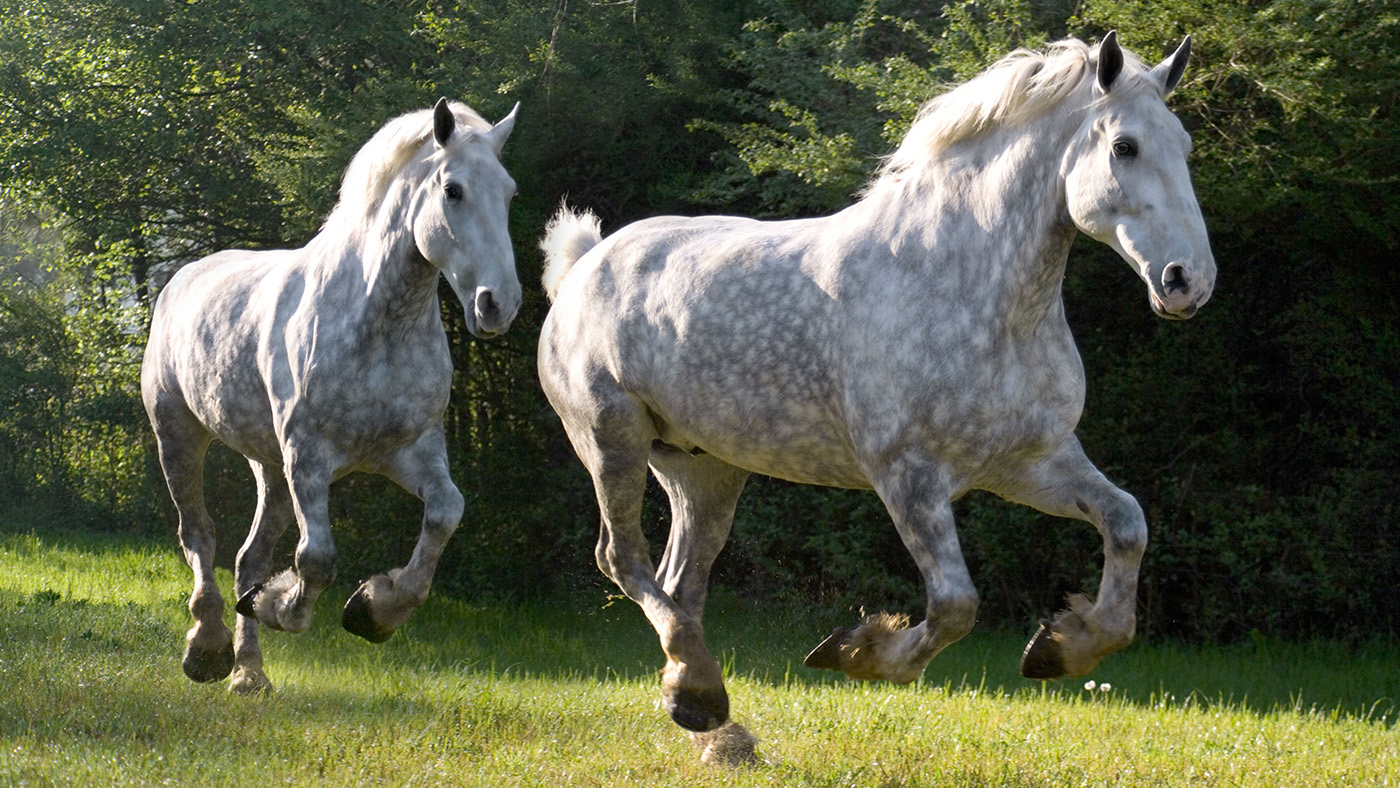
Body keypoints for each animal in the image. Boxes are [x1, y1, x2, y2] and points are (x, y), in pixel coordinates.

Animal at [141, 98, 521, 695]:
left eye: (509, 192)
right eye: (453, 190)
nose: (497, 304)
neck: (377, 324)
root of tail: (180, 278)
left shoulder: (411, 451)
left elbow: (445, 514)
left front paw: (373, 610)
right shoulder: (310, 457)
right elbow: (316, 558)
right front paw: (280, 607)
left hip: (269, 467)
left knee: (248, 557)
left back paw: (249, 674)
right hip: (179, 435)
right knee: (199, 536)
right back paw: (207, 649)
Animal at [536, 33, 1213, 759]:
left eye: (1185, 145)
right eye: (1125, 147)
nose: (1187, 282)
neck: (969, 289)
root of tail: (582, 265)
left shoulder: (1029, 463)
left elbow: (1128, 527)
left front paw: (1060, 647)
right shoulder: (908, 476)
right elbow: (955, 605)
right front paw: (857, 652)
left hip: (704, 469)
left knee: (679, 582)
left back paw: (698, 702)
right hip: (613, 440)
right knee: (622, 558)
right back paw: (701, 694)